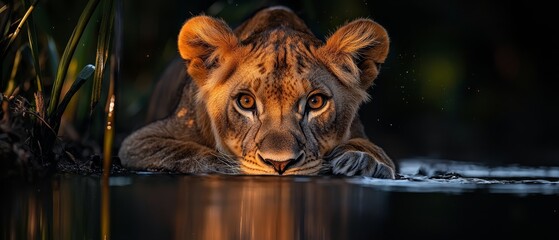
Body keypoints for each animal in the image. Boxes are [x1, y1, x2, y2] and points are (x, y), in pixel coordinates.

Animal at [120, 5, 396, 178]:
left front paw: (362, 160)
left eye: (316, 102)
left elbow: (379, 153)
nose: (279, 163)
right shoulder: (137, 144)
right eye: (245, 101)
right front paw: (228, 166)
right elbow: (187, 151)